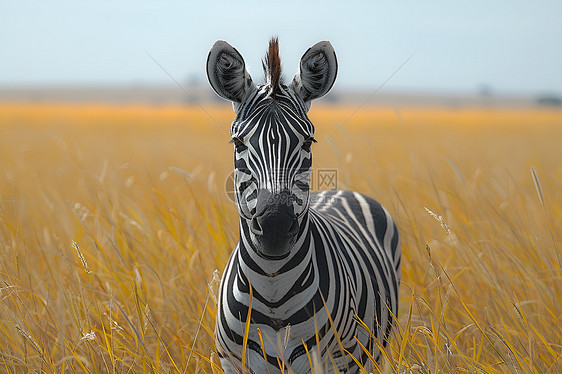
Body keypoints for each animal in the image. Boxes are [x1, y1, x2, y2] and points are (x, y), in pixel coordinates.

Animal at [206, 38, 398, 374]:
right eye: (238, 144)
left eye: (308, 142)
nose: (274, 227)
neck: (272, 290)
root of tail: (337, 190)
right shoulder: (232, 362)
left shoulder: (333, 360)